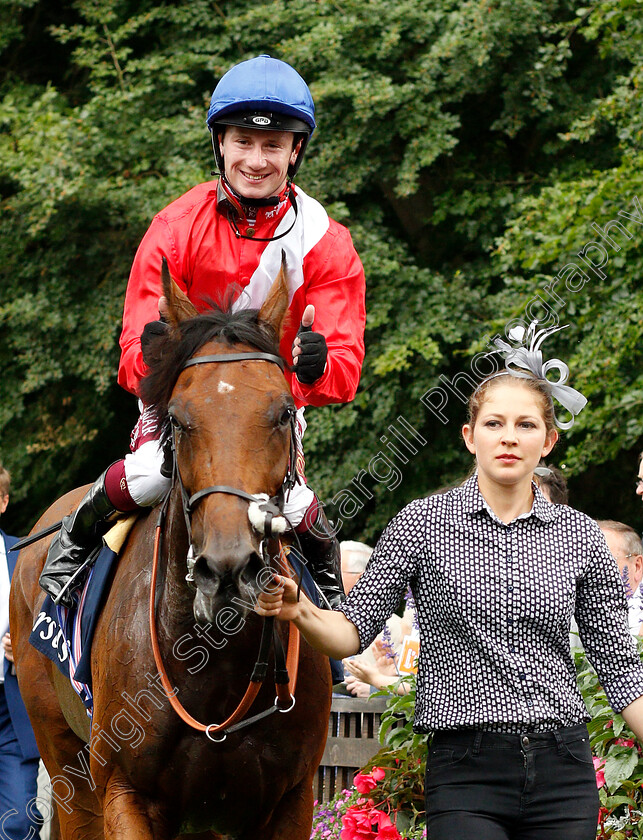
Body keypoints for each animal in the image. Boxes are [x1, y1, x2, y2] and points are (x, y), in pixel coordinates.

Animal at [8, 266, 332, 836]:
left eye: (283, 412)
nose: (228, 569)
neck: (215, 660)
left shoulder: (290, 799)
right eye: (178, 419)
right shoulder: (124, 793)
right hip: (63, 758)